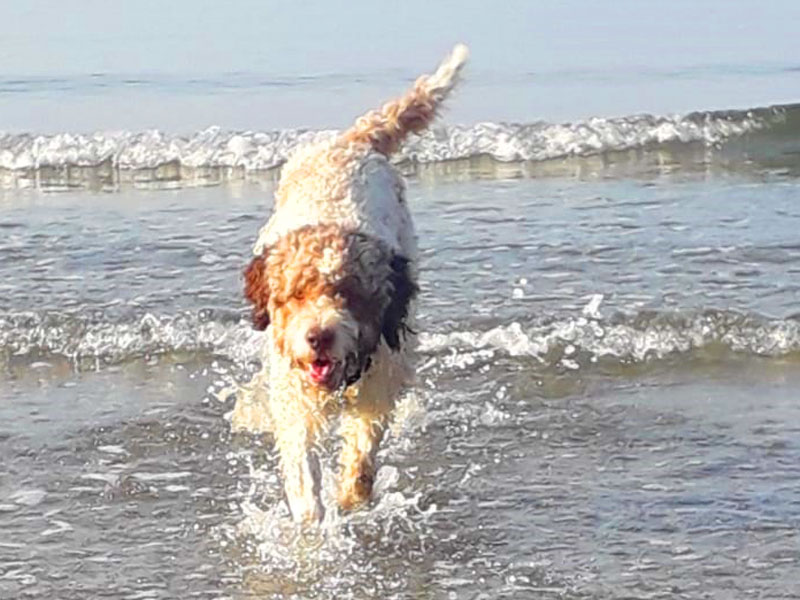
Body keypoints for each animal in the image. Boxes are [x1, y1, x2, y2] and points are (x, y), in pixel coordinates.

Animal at [244, 44, 468, 524]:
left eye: (350, 294)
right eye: (295, 295)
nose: (318, 337)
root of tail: (349, 144)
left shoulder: (381, 380)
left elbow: (363, 448)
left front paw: (351, 496)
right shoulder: (294, 399)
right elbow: (303, 467)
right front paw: (311, 517)